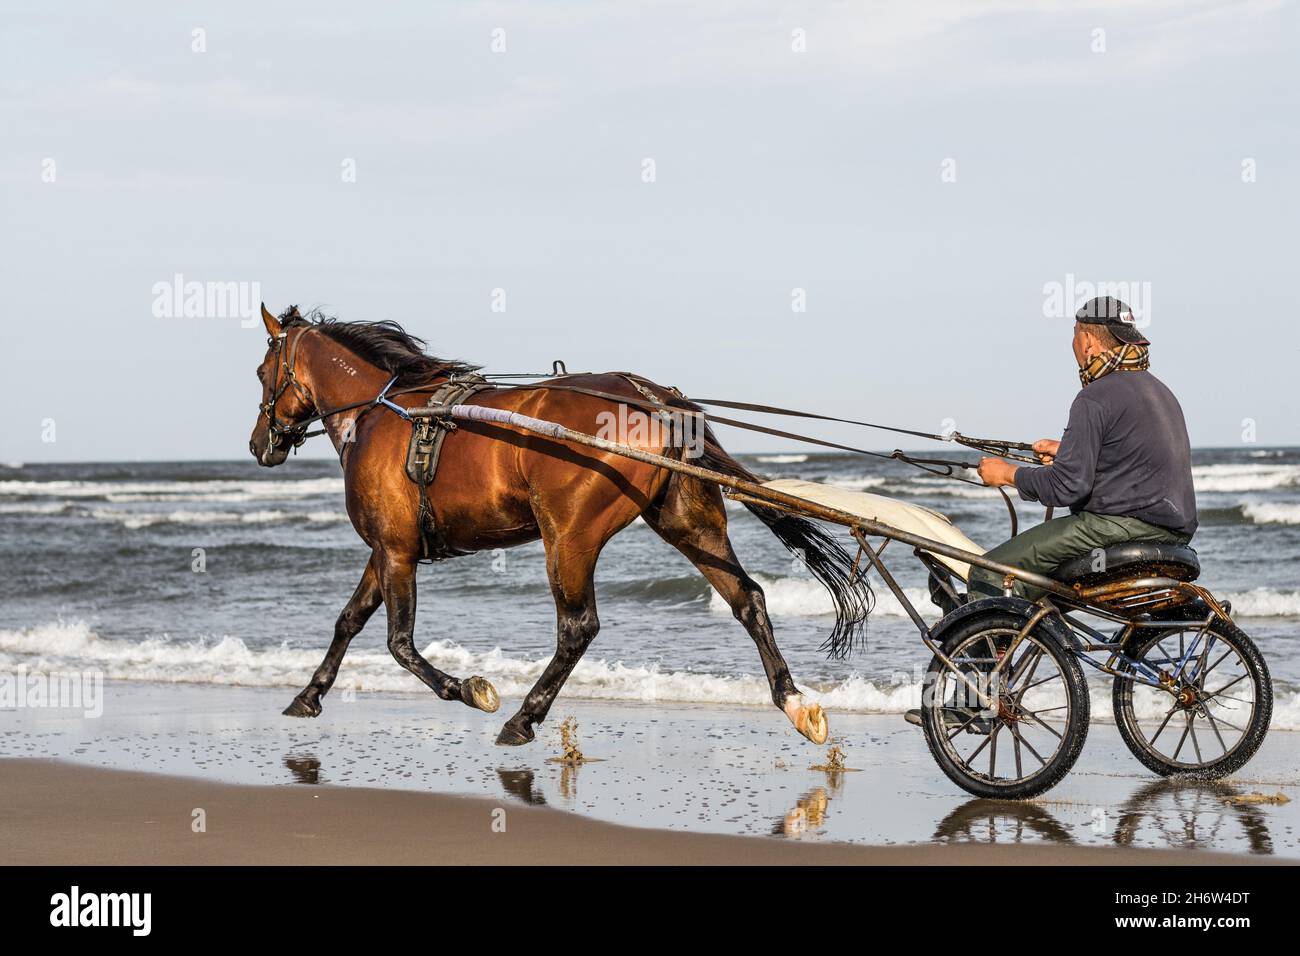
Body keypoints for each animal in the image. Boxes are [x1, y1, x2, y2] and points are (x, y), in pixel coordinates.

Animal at [246, 306, 868, 749]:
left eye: (260, 372)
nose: (258, 444)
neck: (385, 410)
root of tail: (654, 398)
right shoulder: (387, 549)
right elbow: (348, 620)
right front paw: (308, 695)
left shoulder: (395, 548)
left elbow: (399, 643)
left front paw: (469, 689)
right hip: (689, 524)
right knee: (748, 599)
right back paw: (794, 701)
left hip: (568, 537)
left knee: (578, 628)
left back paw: (524, 717)